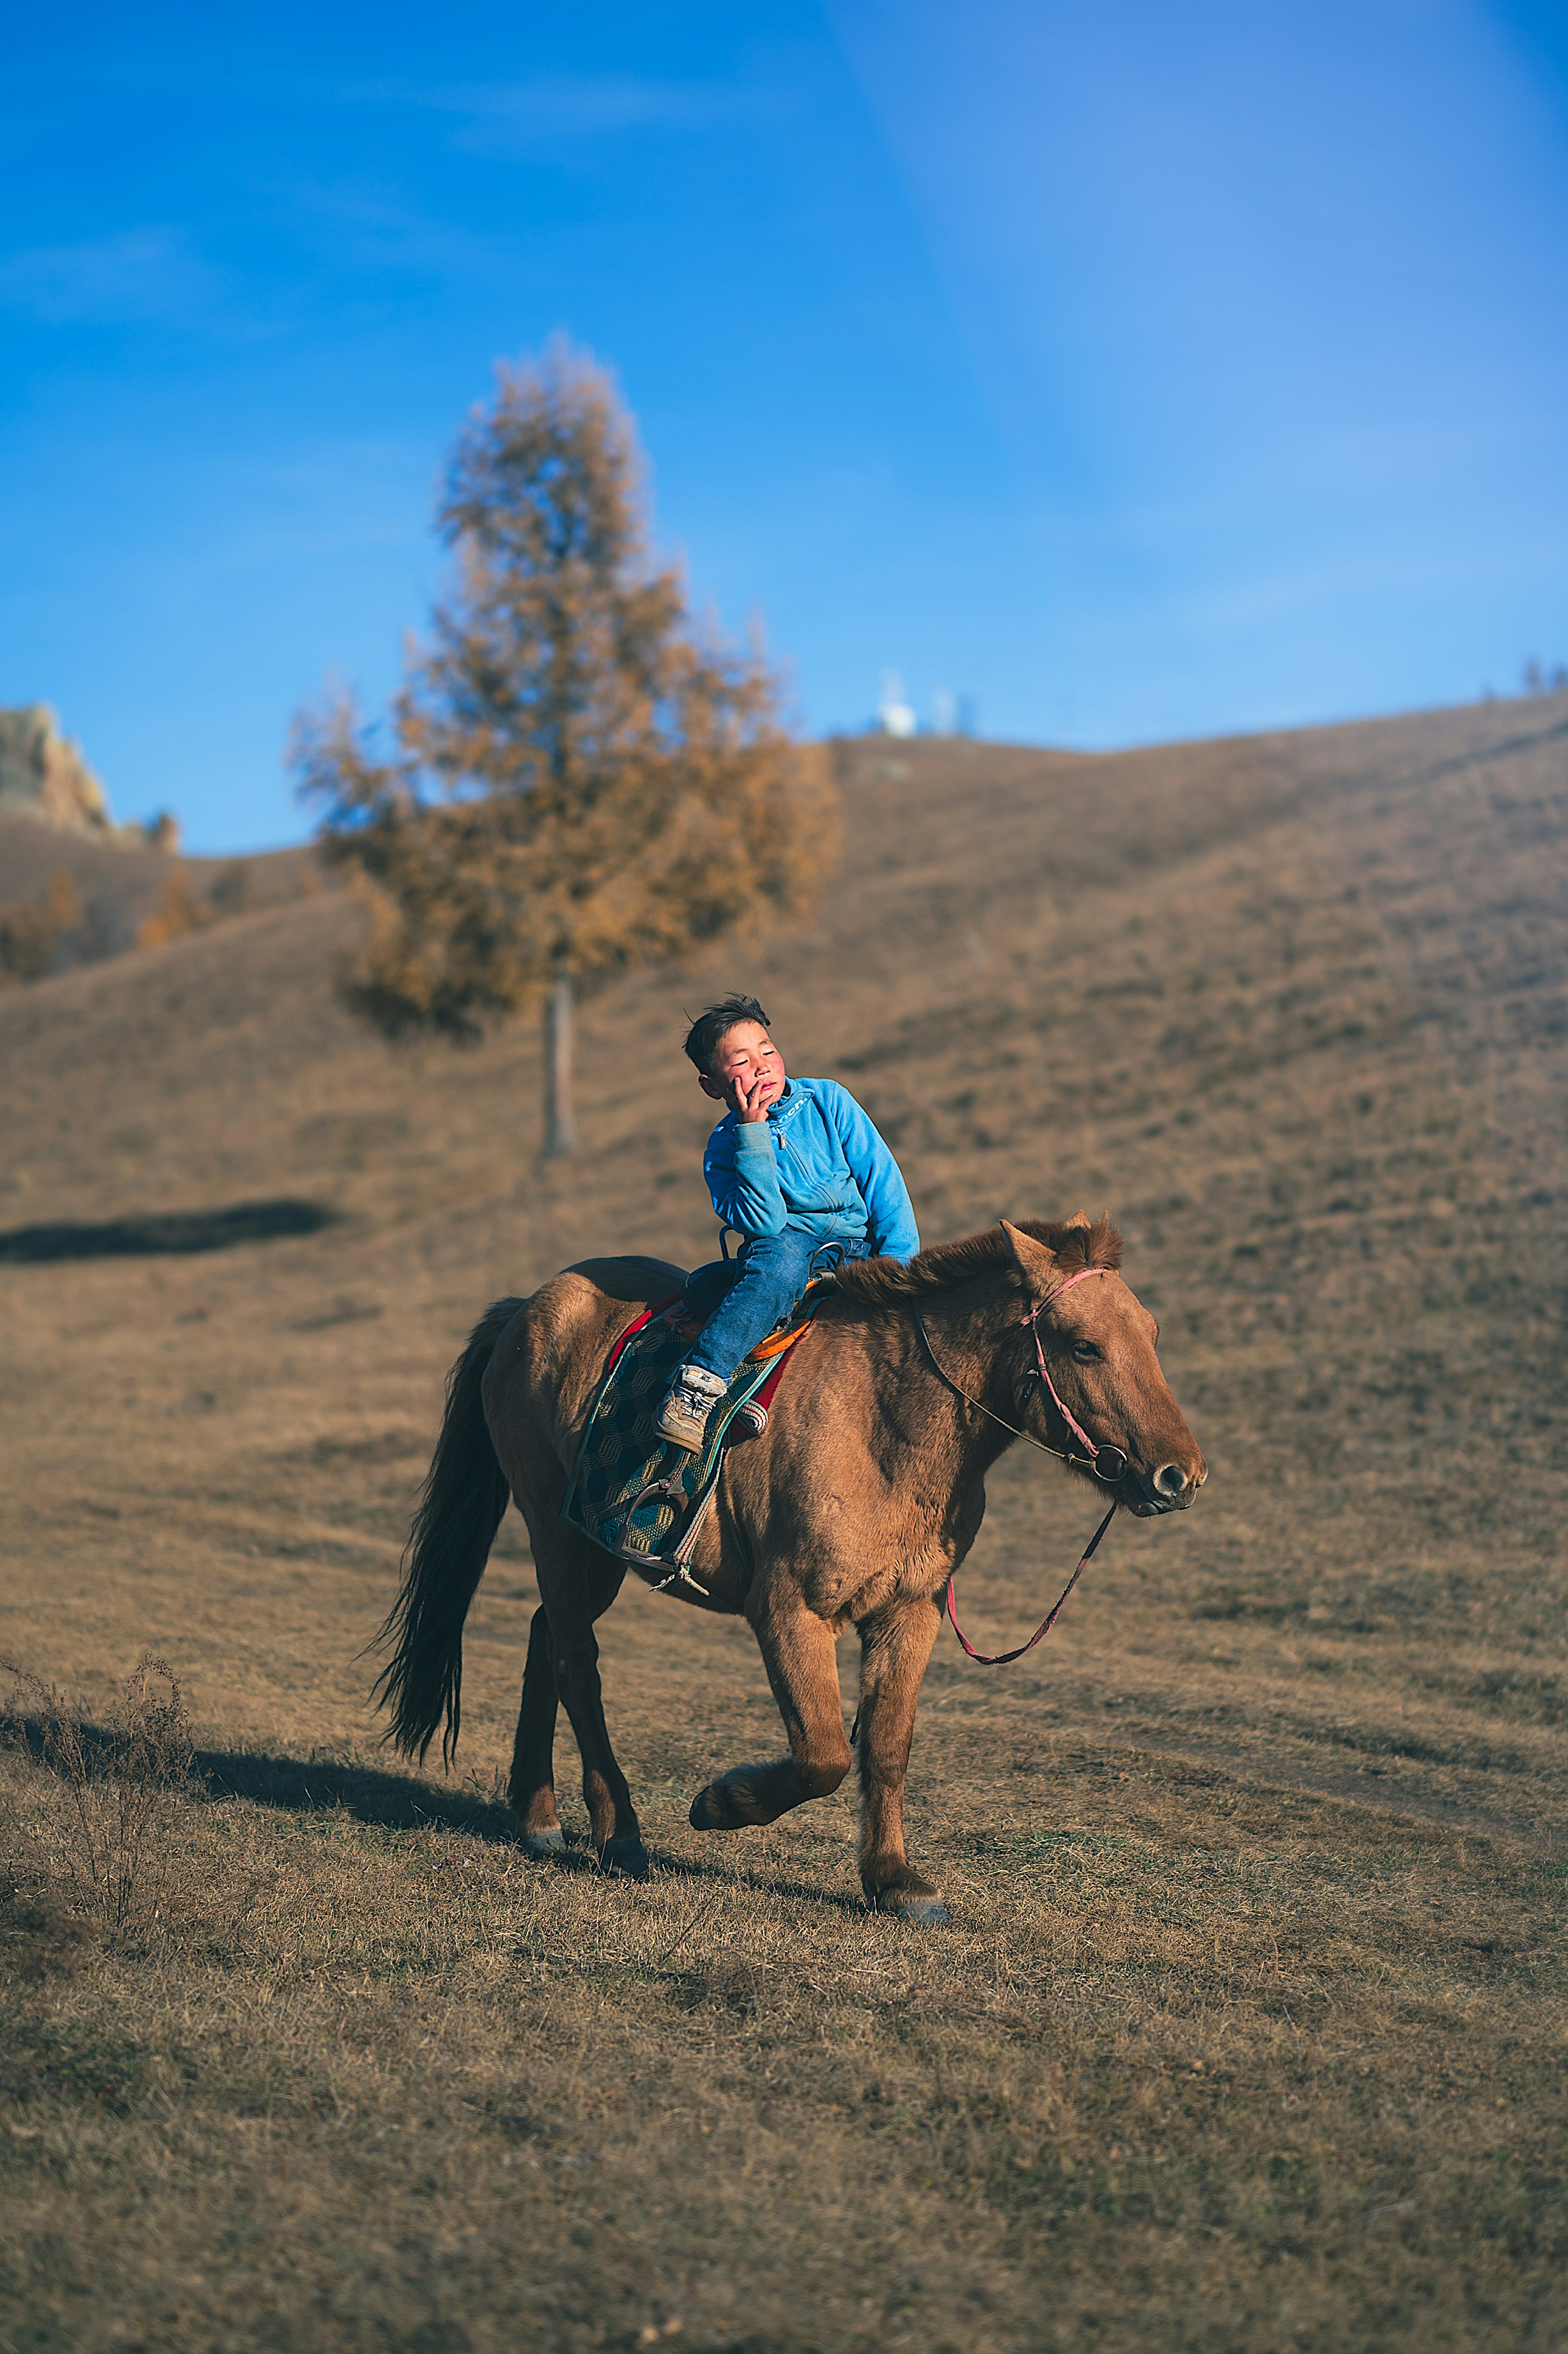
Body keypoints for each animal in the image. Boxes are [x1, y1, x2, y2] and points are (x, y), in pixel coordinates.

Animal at [376, 1224, 1196, 1921]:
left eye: (1152, 1335)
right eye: (1085, 1346)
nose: (1179, 1476)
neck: (883, 1426)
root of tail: (526, 1310)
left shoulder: (910, 1613)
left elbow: (886, 1748)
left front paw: (895, 1882)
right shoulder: (790, 1612)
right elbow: (826, 1753)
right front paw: (721, 1804)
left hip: (596, 1549)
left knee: (546, 1636)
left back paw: (538, 1816)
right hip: (554, 1528)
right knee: (578, 1662)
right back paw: (619, 1834)